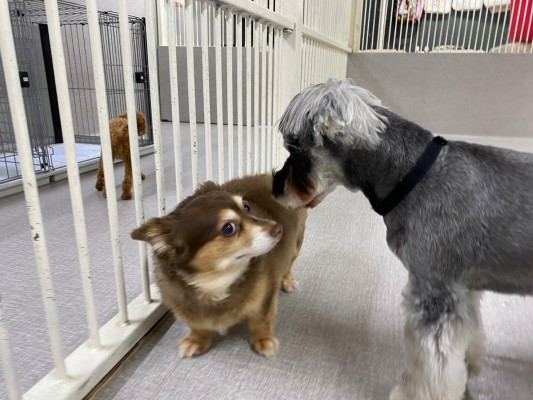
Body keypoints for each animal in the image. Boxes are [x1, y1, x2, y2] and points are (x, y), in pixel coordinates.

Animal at [272, 79, 532, 400]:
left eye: (294, 150)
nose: (274, 187)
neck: (409, 176)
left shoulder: (434, 294)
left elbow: (429, 368)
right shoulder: (462, 289)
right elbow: (469, 333)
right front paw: (469, 365)